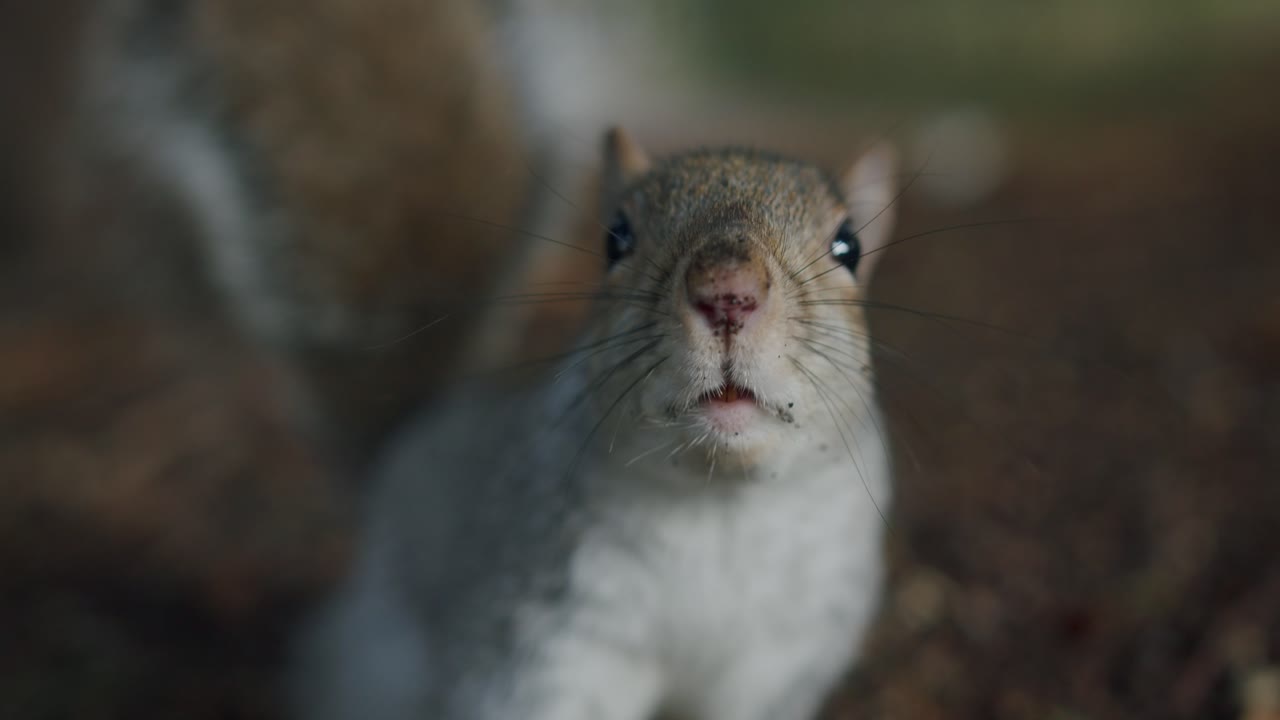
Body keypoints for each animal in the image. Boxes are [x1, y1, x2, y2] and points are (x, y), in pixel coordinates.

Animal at [296, 128, 901, 720]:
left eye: (849, 245)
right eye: (616, 236)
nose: (729, 293)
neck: (718, 500)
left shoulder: (779, 663)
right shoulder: (544, 635)